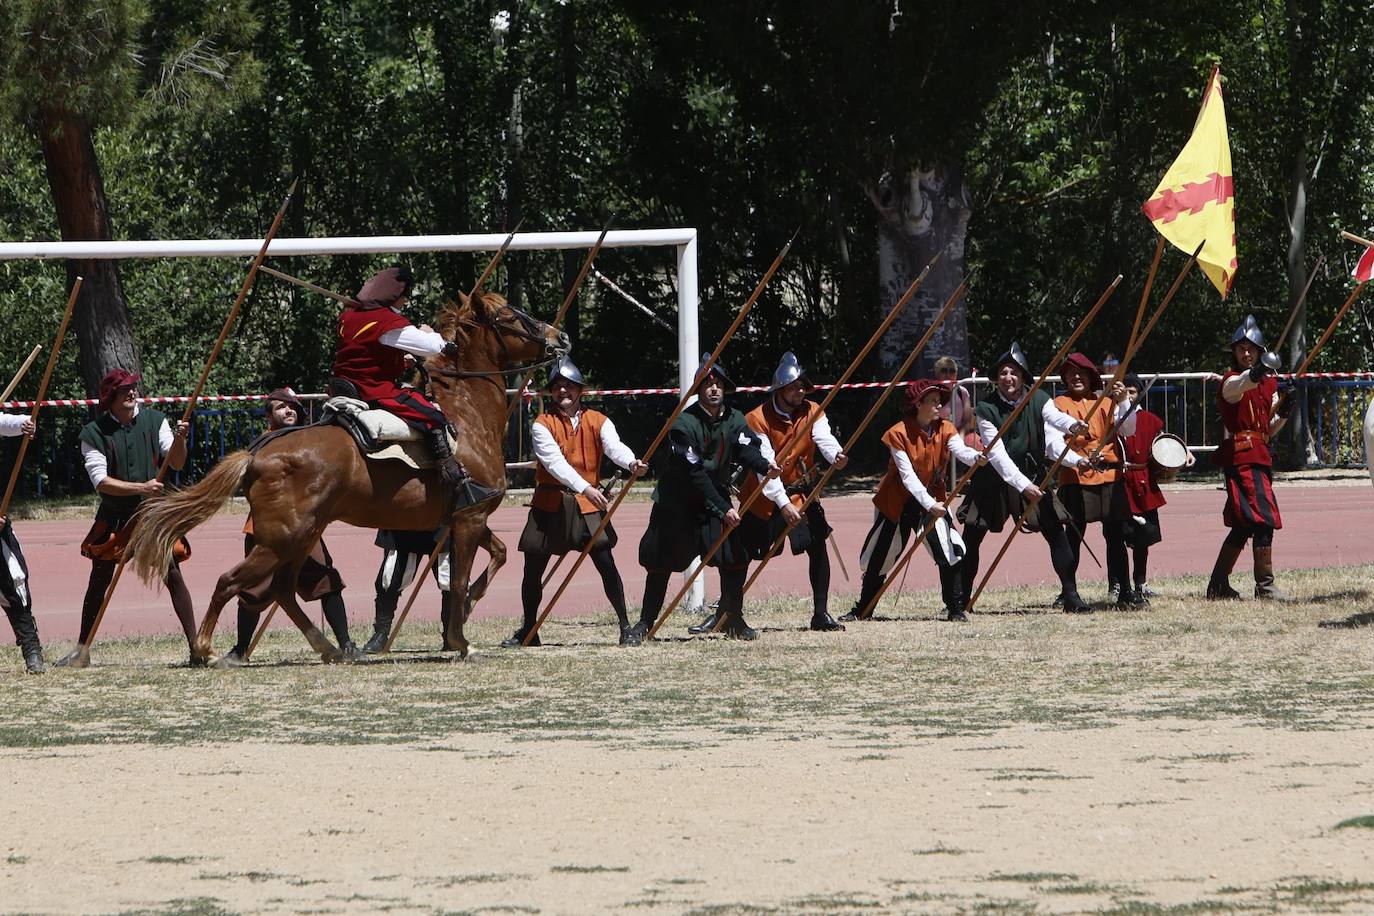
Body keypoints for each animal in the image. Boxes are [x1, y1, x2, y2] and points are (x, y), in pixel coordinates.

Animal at [123, 289, 563, 661]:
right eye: (514, 317)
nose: (560, 338)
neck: (466, 417)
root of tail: (256, 455)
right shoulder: (469, 519)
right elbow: (459, 579)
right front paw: (461, 641)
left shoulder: (463, 519)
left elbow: (497, 555)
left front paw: (468, 608)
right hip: (281, 539)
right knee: (229, 582)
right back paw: (205, 649)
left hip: (302, 537)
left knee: (282, 590)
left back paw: (330, 648)